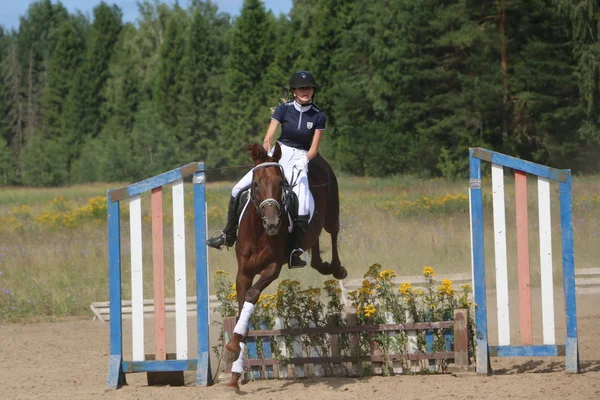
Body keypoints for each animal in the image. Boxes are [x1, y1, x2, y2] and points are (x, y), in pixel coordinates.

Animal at [225, 142, 346, 392]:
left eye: (281, 184)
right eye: (256, 184)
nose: (273, 224)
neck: (259, 231)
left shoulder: (272, 268)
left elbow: (251, 296)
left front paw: (233, 348)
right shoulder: (243, 272)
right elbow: (242, 310)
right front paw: (234, 373)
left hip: (332, 209)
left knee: (332, 231)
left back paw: (337, 268)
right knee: (314, 239)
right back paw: (319, 263)